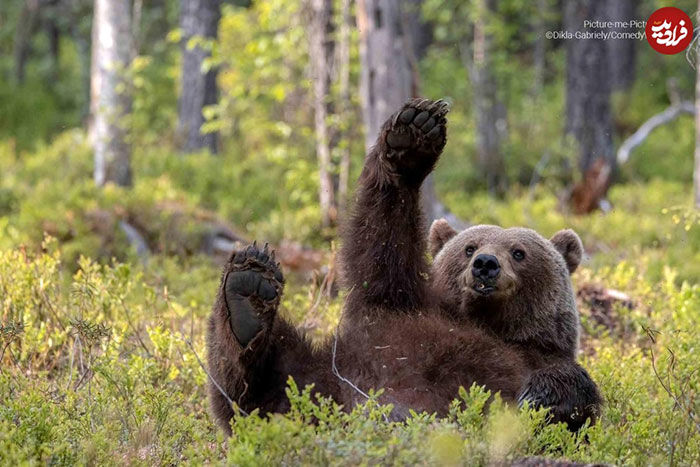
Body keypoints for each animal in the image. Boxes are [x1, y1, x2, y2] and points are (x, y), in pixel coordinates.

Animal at [205, 98, 600, 436]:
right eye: (469, 247)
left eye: (519, 252)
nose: (486, 264)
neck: (488, 323)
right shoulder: (396, 308)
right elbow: (381, 246)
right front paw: (412, 137)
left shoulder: (536, 356)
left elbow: (575, 394)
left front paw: (540, 397)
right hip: (322, 382)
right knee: (261, 384)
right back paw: (248, 294)